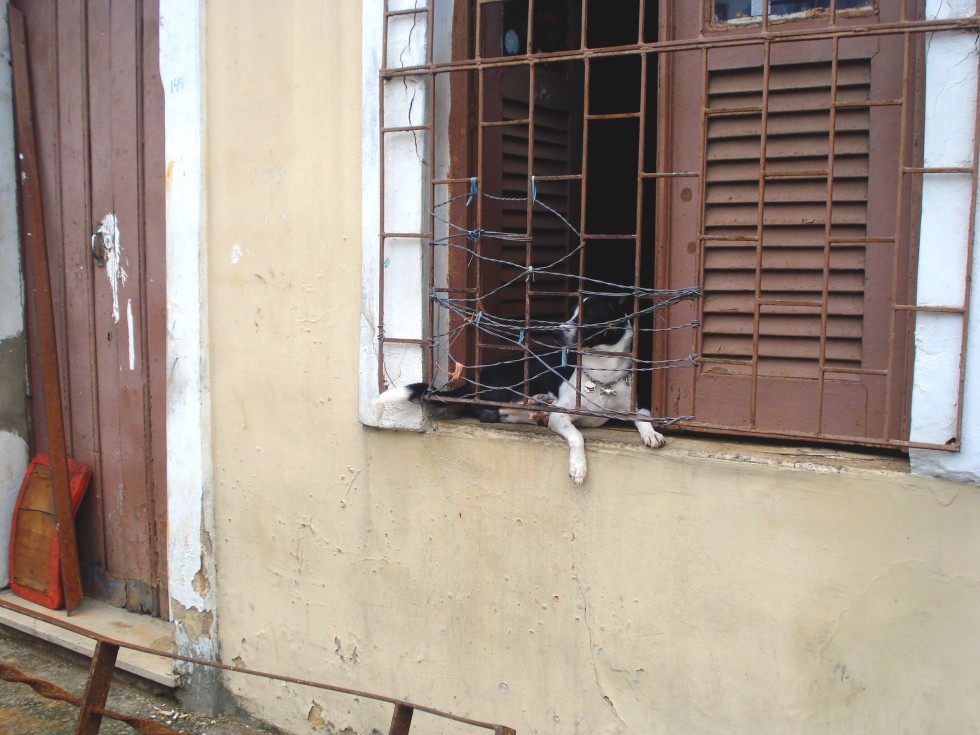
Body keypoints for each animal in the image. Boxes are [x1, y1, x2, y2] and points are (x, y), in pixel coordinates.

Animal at [376, 294, 668, 484]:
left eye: (588, 317)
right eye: (571, 314)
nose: (556, 333)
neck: (601, 376)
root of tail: (473, 380)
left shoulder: (635, 403)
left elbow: (643, 418)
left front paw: (651, 434)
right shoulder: (563, 416)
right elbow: (577, 436)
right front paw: (578, 467)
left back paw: (538, 407)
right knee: (491, 410)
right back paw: (537, 405)